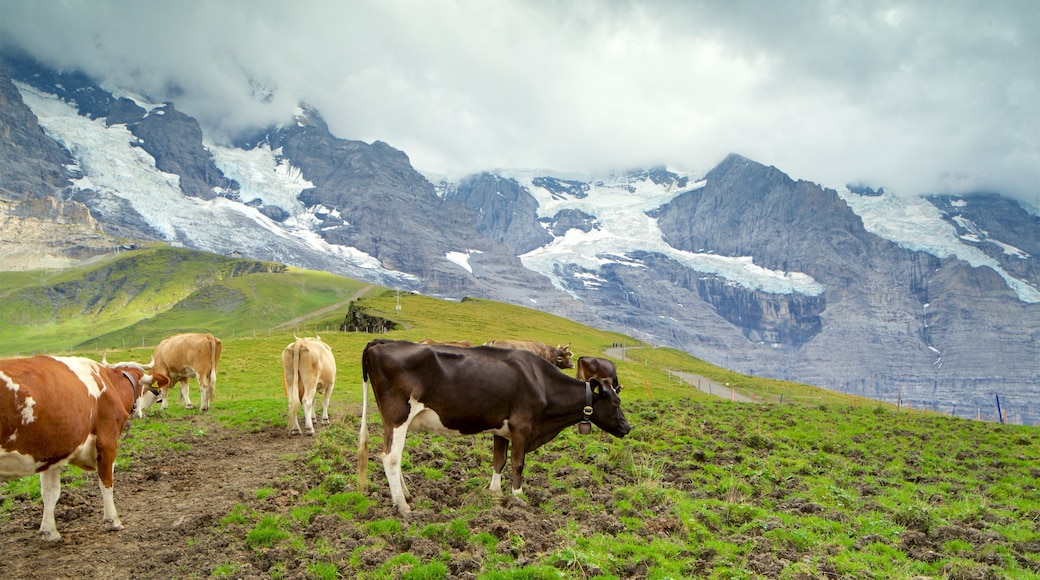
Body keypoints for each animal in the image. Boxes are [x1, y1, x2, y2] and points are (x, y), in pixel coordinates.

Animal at [0, 357, 168, 544]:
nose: (158, 396)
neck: (109, 384)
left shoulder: (53, 453)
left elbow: (51, 493)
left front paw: (49, 532)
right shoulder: (107, 441)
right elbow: (106, 483)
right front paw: (113, 521)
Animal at [357, 340, 632, 517]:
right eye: (616, 403)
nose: (627, 427)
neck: (541, 381)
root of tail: (380, 344)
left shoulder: (502, 429)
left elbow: (499, 461)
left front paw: (495, 493)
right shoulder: (522, 426)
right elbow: (518, 463)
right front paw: (518, 498)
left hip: (393, 422)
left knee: (394, 455)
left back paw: (407, 495)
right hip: (398, 416)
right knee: (391, 457)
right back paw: (402, 505)